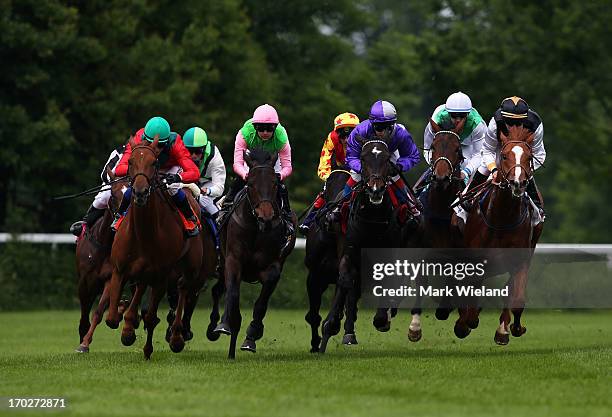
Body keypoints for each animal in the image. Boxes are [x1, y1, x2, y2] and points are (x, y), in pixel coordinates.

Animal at [76, 169, 129, 352]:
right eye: (113, 195)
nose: (123, 219)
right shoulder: (84, 281)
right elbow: (84, 314)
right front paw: (82, 341)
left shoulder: (110, 277)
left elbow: (98, 312)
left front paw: (85, 342)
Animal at [104, 136, 202, 358]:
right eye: (131, 162)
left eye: (154, 162)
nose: (140, 192)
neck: (143, 234)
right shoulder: (120, 270)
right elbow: (112, 318)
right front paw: (125, 318)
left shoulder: (160, 275)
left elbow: (150, 316)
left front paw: (143, 344)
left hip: (188, 267)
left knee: (183, 289)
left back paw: (175, 337)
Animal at [210, 149, 296, 358]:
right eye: (250, 184)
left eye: (274, 183)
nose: (266, 216)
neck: (258, 228)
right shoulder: (233, 260)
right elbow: (233, 294)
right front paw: (225, 324)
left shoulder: (274, 266)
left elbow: (261, 304)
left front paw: (252, 335)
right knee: (219, 290)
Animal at [304, 164, 352, 350]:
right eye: (329, 183)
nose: (331, 215)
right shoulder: (315, 275)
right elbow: (312, 315)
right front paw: (314, 344)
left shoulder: (341, 275)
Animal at [454, 124, 544, 344]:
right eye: (504, 156)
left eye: (529, 156)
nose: (518, 183)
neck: (502, 216)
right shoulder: (475, 261)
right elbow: (469, 302)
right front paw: (464, 323)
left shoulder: (520, 259)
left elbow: (516, 298)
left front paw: (513, 328)